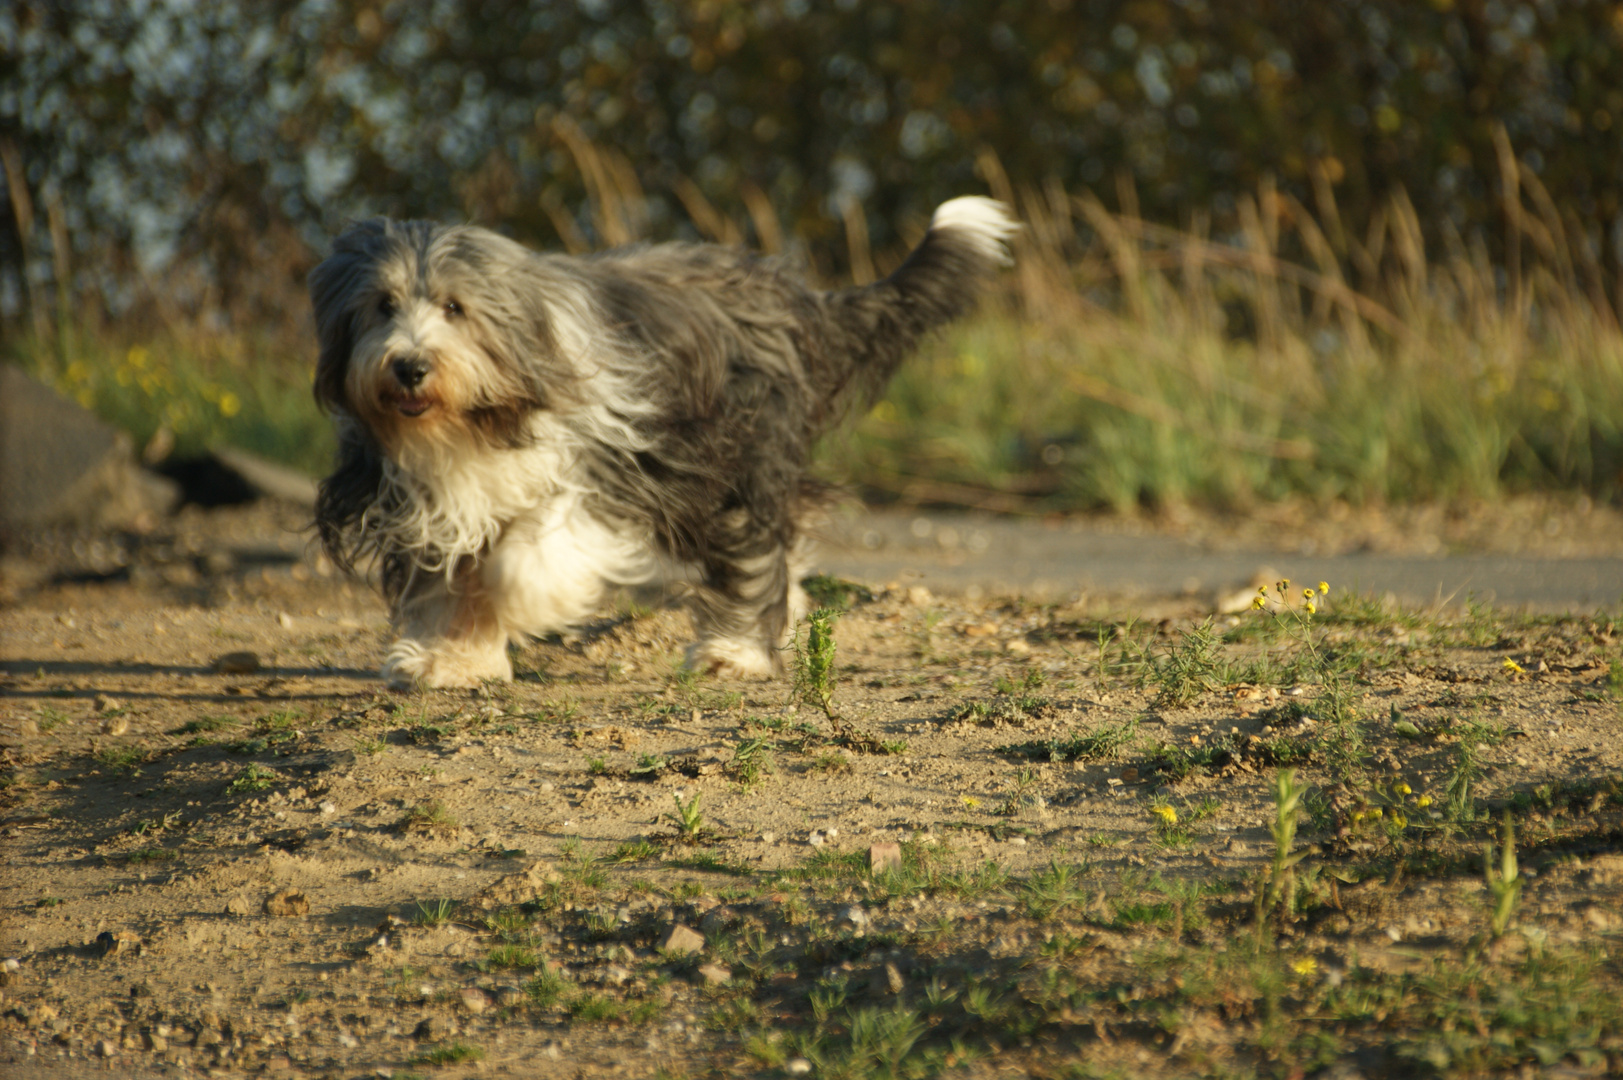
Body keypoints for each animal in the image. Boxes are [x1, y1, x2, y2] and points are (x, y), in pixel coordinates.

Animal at [308, 198, 1012, 685]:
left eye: (454, 307)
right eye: (382, 304)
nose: (409, 366)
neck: (476, 419)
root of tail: (797, 299)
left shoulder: (615, 468)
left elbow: (530, 552)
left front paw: (528, 600)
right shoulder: (425, 499)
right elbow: (445, 580)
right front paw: (448, 660)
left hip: (731, 463)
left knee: (751, 552)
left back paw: (734, 652)